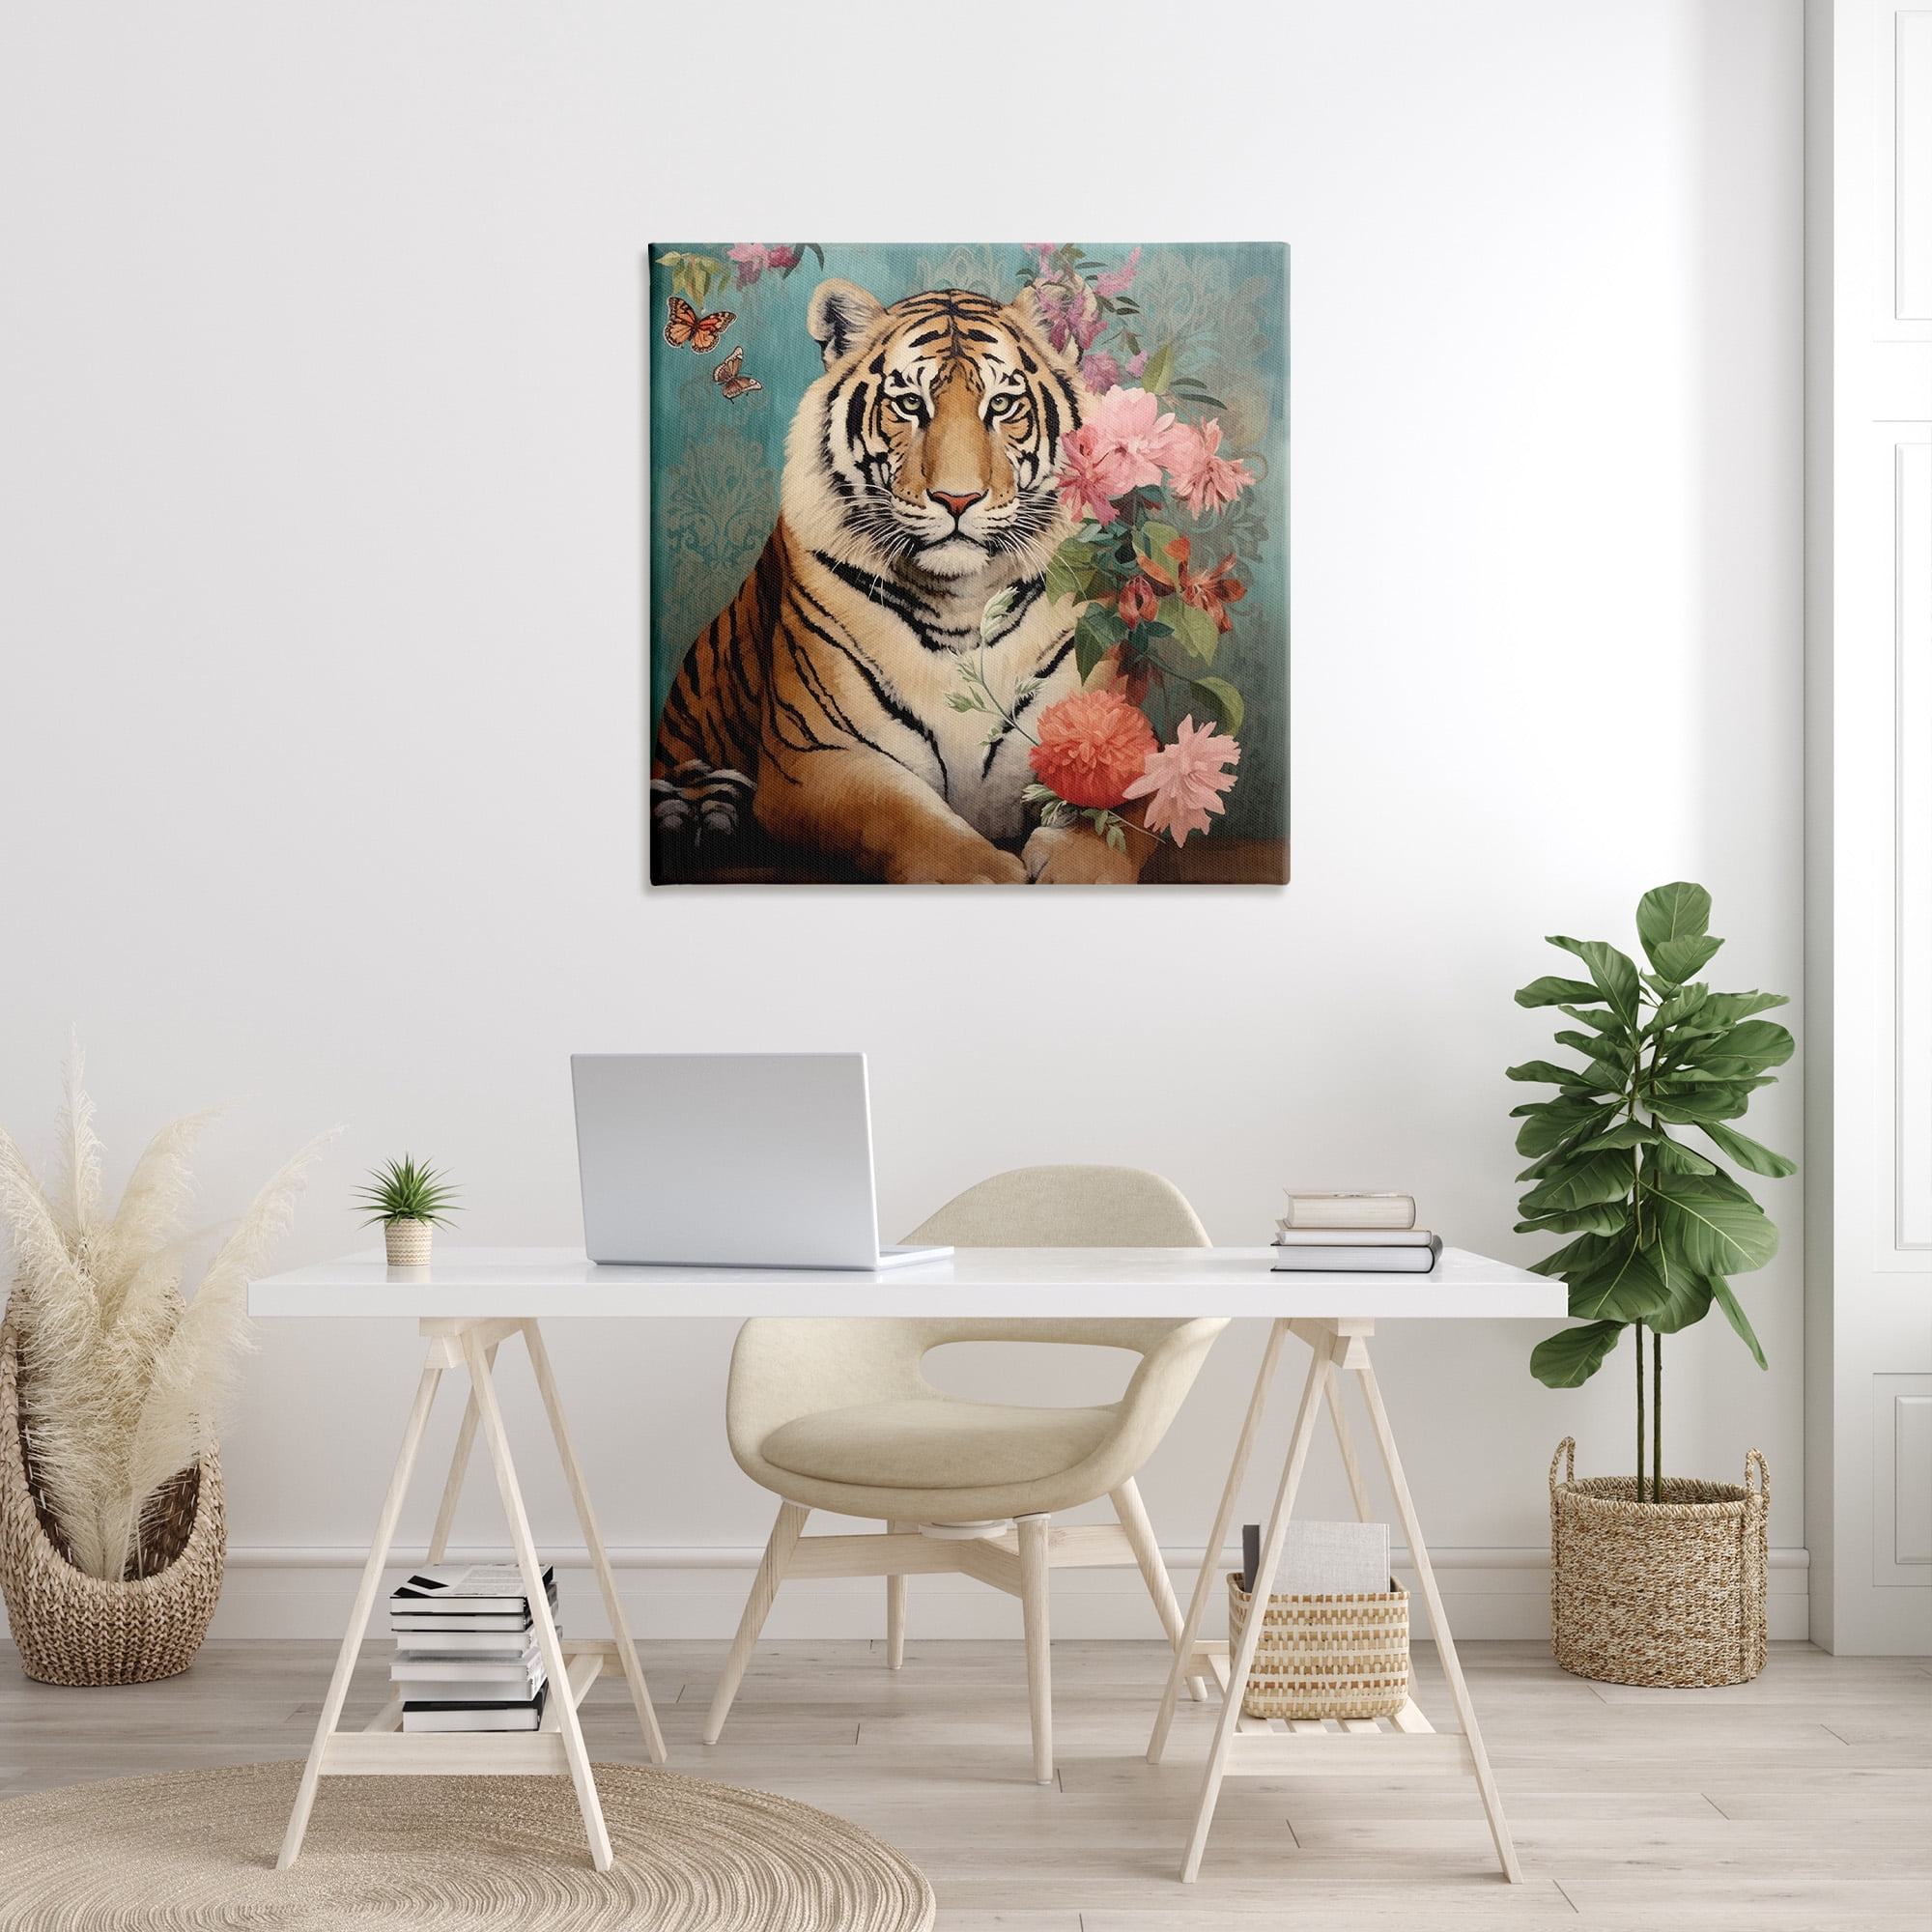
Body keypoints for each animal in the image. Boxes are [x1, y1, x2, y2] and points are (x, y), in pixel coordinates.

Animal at [653, 279, 1147, 884]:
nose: (957, 499)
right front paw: (987, 874)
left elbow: (1130, 804)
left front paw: (1077, 867)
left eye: (1001, 404)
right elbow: (902, 818)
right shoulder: (815, 758)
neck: (962, 603)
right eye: (910, 404)